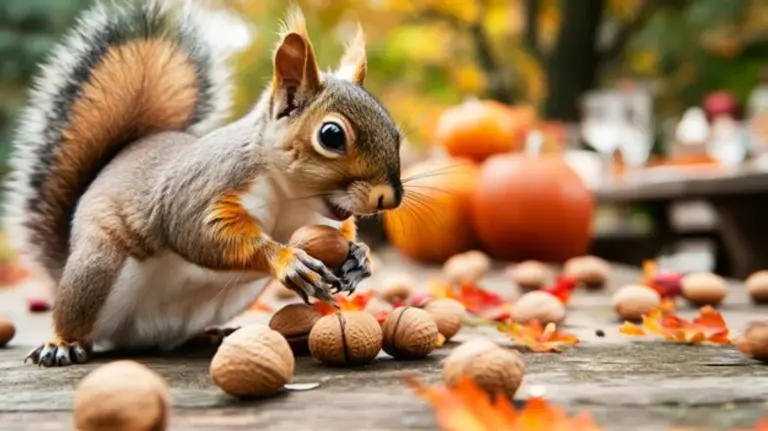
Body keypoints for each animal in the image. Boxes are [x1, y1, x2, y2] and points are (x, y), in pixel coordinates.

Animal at [3, 0, 404, 367]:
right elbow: (197, 231)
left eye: (396, 133)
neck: (292, 197)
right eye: (331, 135)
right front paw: (287, 260)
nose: (389, 198)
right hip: (96, 269)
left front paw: (359, 257)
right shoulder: (206, 185)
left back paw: (207, 335)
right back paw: (62, 343)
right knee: (76, 314)